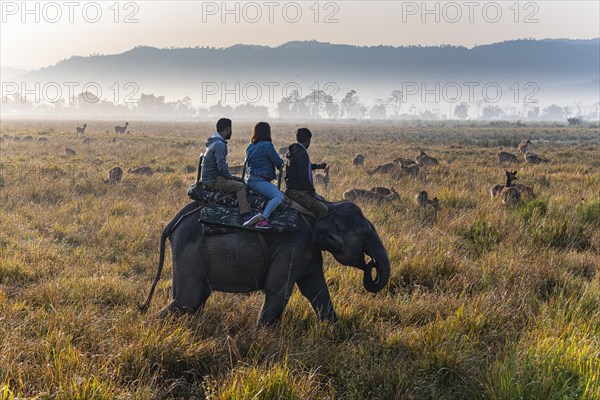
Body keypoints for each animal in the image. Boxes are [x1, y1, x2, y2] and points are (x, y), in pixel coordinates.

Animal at [142, 200, 392, 324]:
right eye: (366, 235)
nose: (370, 265)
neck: (325, 208)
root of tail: (173, 222)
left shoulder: (308, 251)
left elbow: (316, 289)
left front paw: (334, 330)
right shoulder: (293, 246)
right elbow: (278, 291)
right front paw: (260, 335)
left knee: (192, 299)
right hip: (190, 253)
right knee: (188, 300)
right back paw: (150, 328)